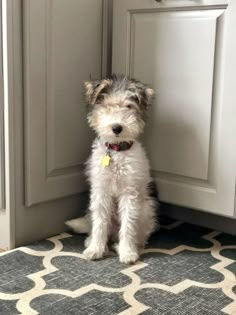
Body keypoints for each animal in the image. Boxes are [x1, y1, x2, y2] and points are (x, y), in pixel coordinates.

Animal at [66, 74, 159, 264]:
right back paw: (91, 241)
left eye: (129, 106)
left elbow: (128, 225)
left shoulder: (129, 193)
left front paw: (127, 253)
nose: (117, 127)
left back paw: (124, 246)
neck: (115, 152)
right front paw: (95, 249)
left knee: (139, 235)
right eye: (106, 105)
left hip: (147, 210)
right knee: (99, 226)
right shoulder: (101, 191)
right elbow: (100, 223)